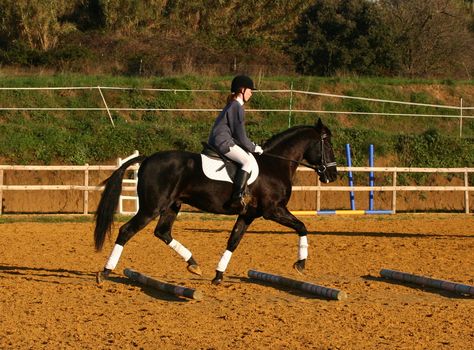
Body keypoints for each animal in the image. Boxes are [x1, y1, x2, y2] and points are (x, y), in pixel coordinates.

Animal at [93, 117, 336, 284]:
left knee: (162, 232)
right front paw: (301, 264)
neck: (275, 164)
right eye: (328, 146)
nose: (332, 176)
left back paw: (193, 264)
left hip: (172, 206)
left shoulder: (248, 214)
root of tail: (148, 158)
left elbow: (233, 241)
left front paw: (218, 275)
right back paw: (105, 271)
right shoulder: (273, 210)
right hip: (151, 208)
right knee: (127, 231)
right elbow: (302, 226)